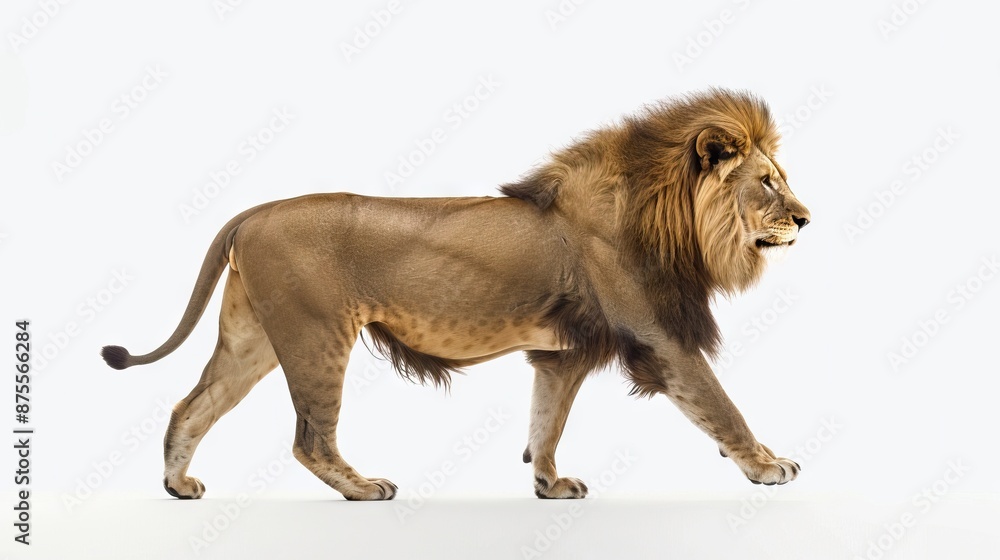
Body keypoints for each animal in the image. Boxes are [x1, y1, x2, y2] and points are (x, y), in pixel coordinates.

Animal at [102, 88, 811, 500]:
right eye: (769, 182)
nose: (806, 219)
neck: (672, 220)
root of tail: (254, 211)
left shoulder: (563, 354)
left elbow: (547, 420)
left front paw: (548, 483)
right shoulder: (661, 337)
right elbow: (721, 406)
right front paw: (766, 465)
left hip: (255, 337)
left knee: (190, 407)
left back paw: (177, 484)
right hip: (316, 335)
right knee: (309, 438)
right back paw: (363, 488)